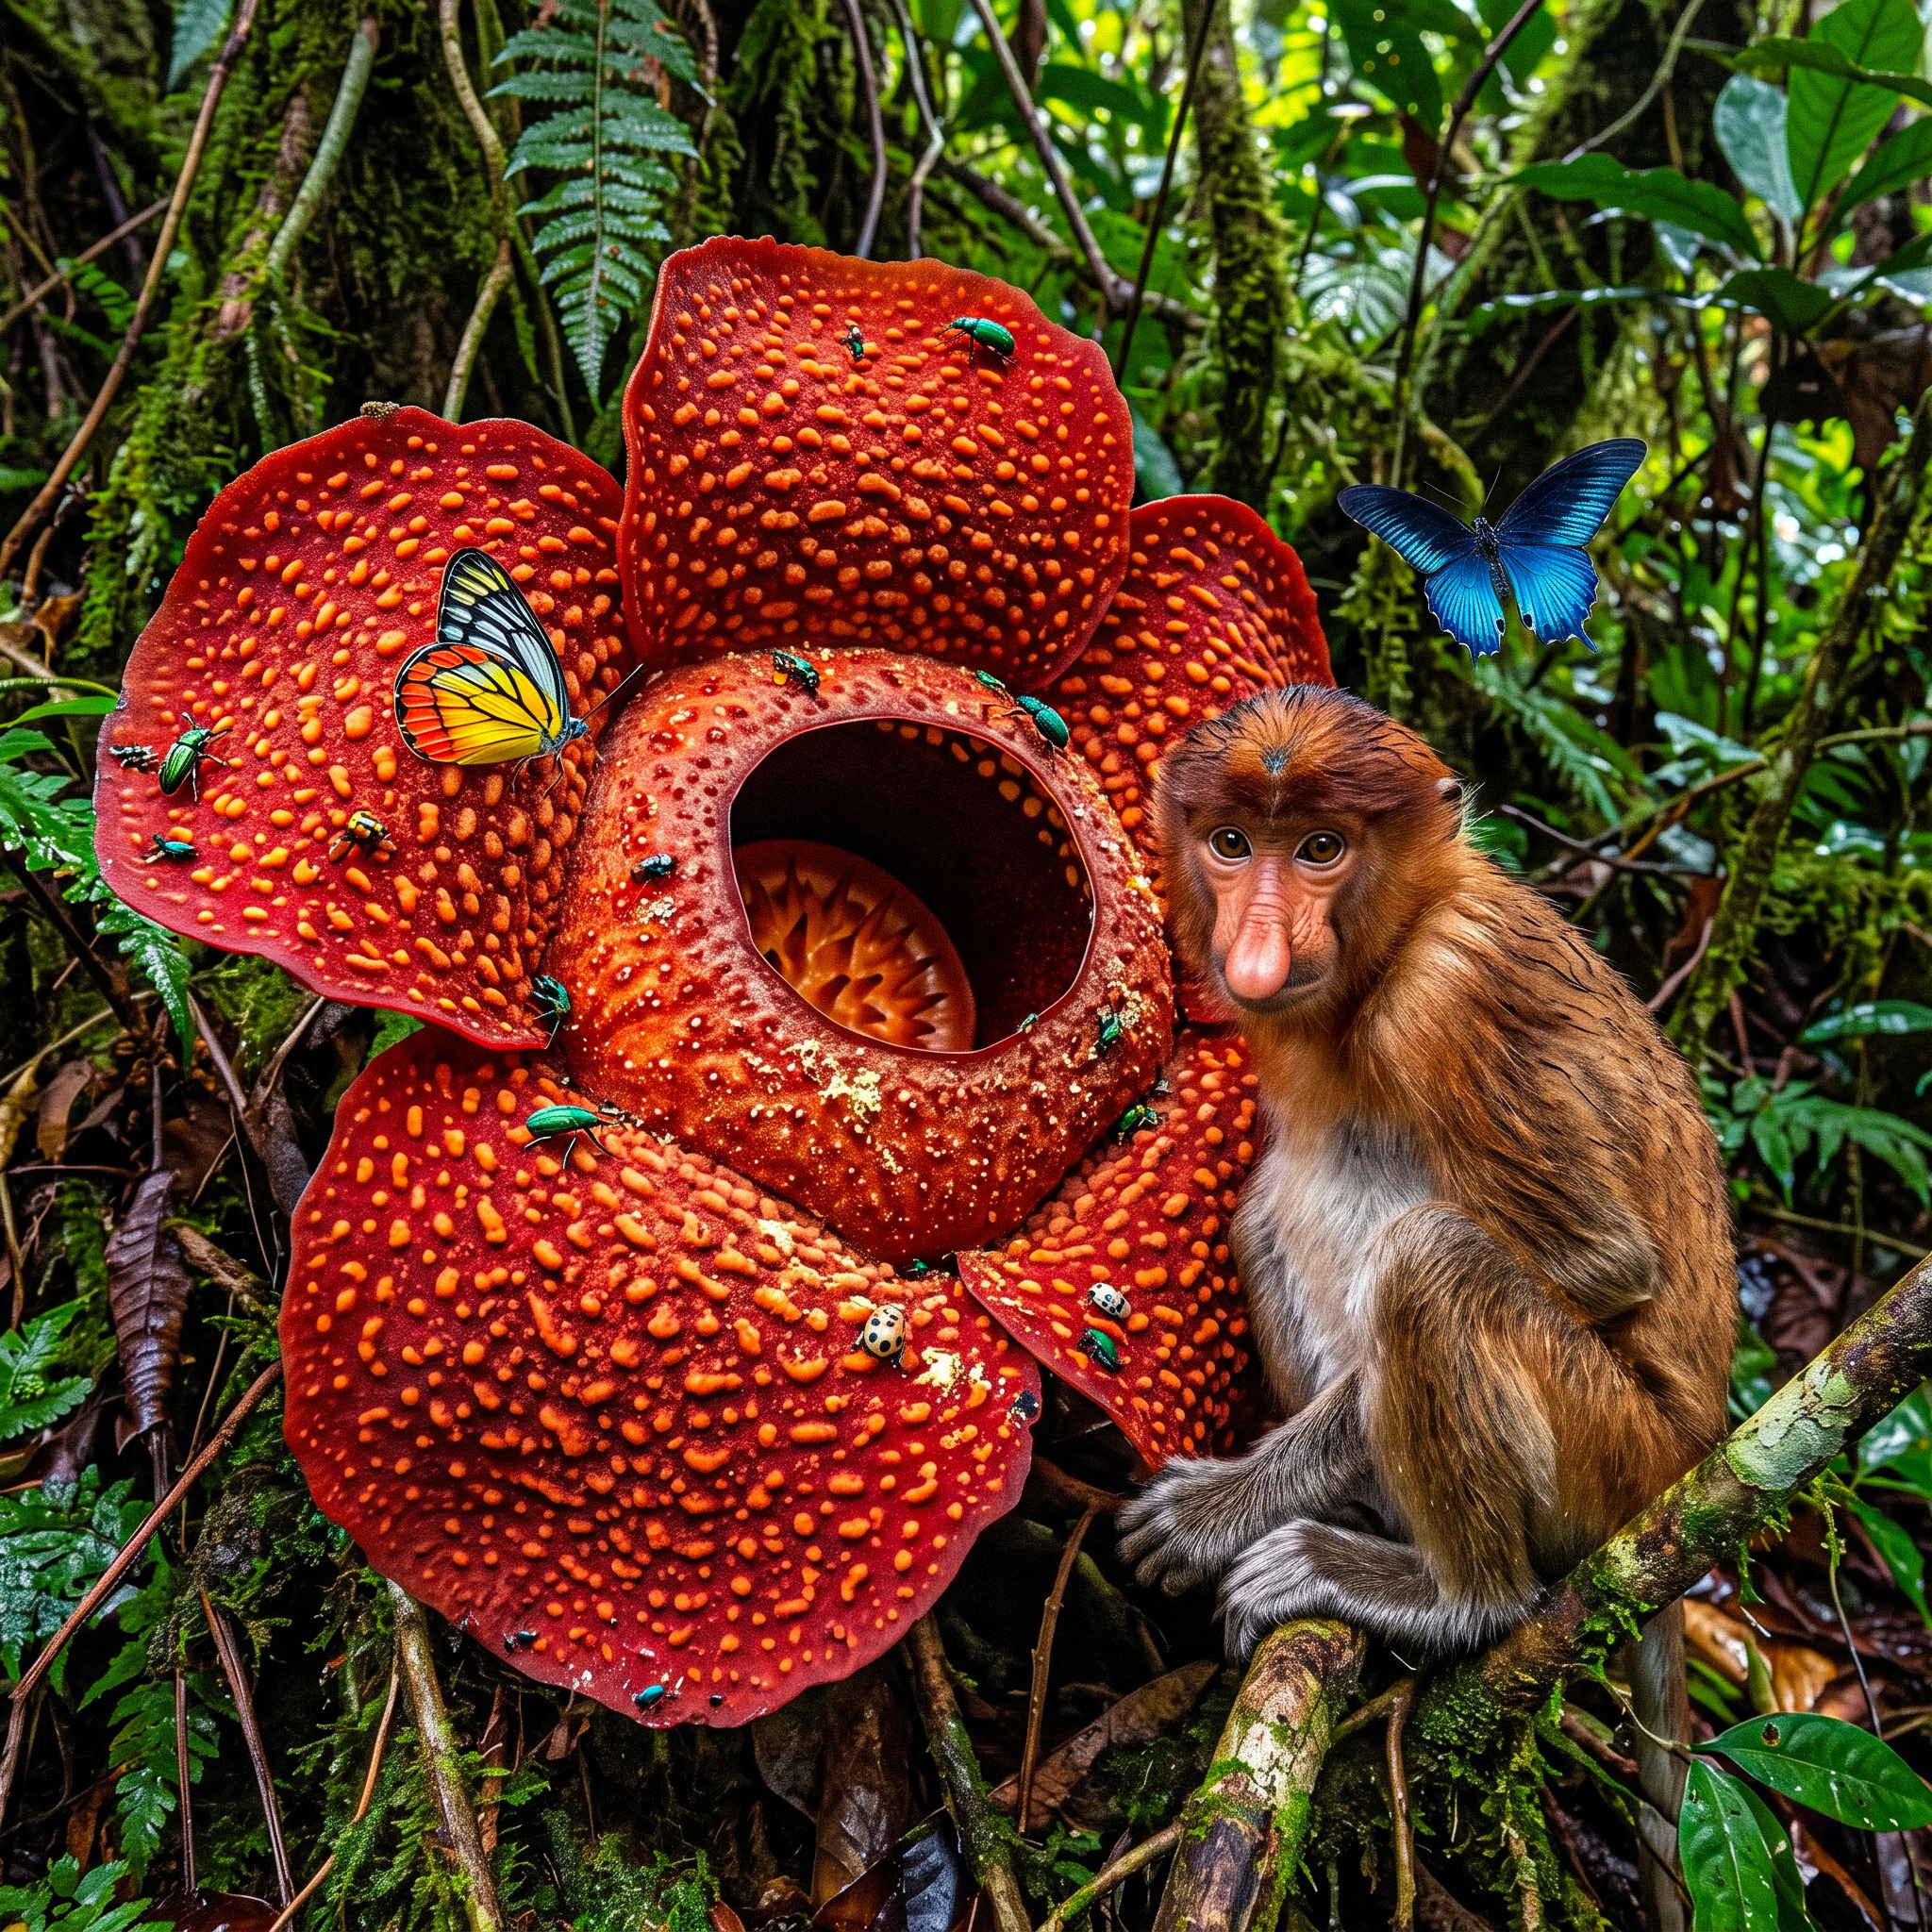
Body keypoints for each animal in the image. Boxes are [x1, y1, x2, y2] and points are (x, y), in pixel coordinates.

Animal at [1118, 686, 1736, 1675]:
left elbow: (1602, 1264)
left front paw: (1214, 1510)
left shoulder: (1449, 993)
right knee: (1264, 1211)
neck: (1402, 934)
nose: (1255, 948)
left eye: (1321, 848)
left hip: (1616, 1461)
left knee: (1430, 1261)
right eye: (1231, 842)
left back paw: (1451, 1599)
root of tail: (1688, 1462)